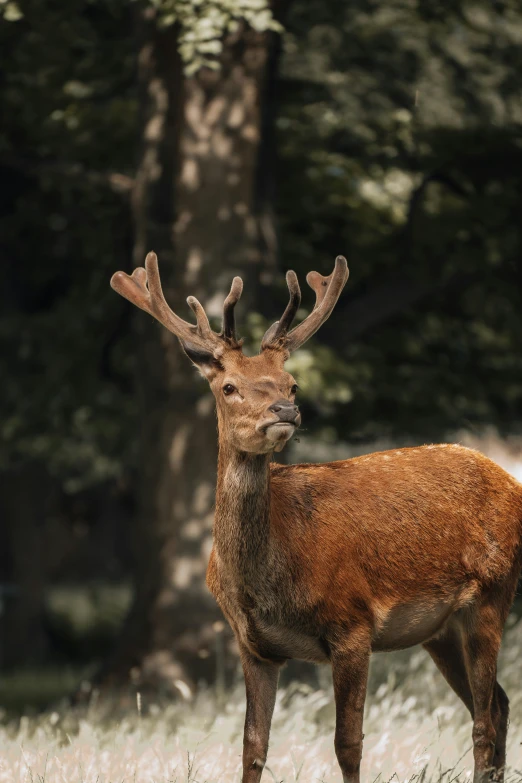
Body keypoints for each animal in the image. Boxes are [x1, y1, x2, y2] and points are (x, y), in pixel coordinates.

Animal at [110, 251, 520, 783]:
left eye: (292, 383)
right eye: (228, 386)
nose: (285, 409)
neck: (269, 582)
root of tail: (510, 482)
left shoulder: (353, 623)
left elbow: (348, 744)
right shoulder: (253, 645)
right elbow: (252, 745)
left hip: (492, 593)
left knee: (485, 720)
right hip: (440, 630)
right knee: (499, 705)